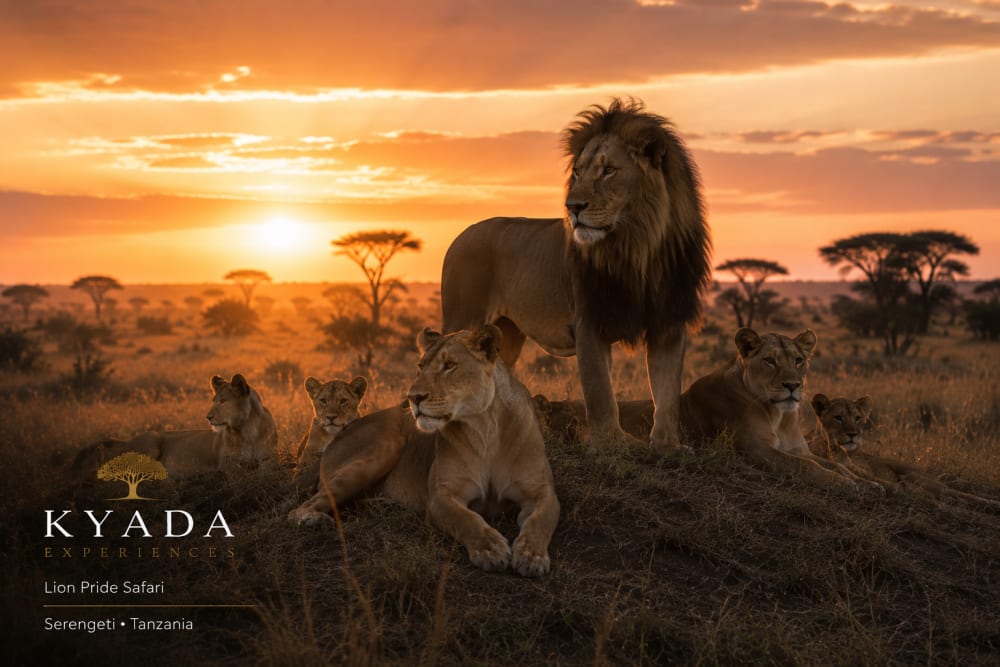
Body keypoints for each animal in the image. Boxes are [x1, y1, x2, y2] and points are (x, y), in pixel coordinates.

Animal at [75, 374, 278, 479]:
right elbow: (244, 473)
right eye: (213, 401)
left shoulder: (269, 458)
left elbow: (266, 470)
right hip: (152, 438)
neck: (248, 428)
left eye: (222, 401)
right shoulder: (226, 463)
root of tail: (123, 442)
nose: (208, 417)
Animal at [289, 325, 561, 577]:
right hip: (384, 447)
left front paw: (532, 556)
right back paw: (315, 519)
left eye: (450, 365)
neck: (485, 429)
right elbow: (467, 520)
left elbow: (541, 522)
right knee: (300, 508)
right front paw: (490, 549)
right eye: (420, 367)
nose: (413, 397)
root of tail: (339, 433)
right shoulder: (441, 497)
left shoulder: (542, 493)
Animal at [441, 98, 711, 451]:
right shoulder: (589, 321)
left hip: (506, 335)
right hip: (463, 317)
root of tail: (460, 235)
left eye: (609, 170)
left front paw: (668, 444)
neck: (639, 250)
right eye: (578, 172)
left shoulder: (668, 321)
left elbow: (667, 392)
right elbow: (599, 392)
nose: (572, 207)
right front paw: (611, 443)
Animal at [679, 328, 864, 490]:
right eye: (769, 361)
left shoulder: (799, 450)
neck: (778, 415)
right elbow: (805, 465)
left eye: (798, 360)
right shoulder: (756, 450)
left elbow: (837, 465)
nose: (792, 385)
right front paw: (844, 483)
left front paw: (864, 482)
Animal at [812, 394, 1000, 509]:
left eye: (858, 418)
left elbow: (864, 473)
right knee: (941, 497)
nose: (853, 435)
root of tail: (941, 483)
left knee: (945, 495)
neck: (836, 450)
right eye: (838, 417)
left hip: (913, 476)